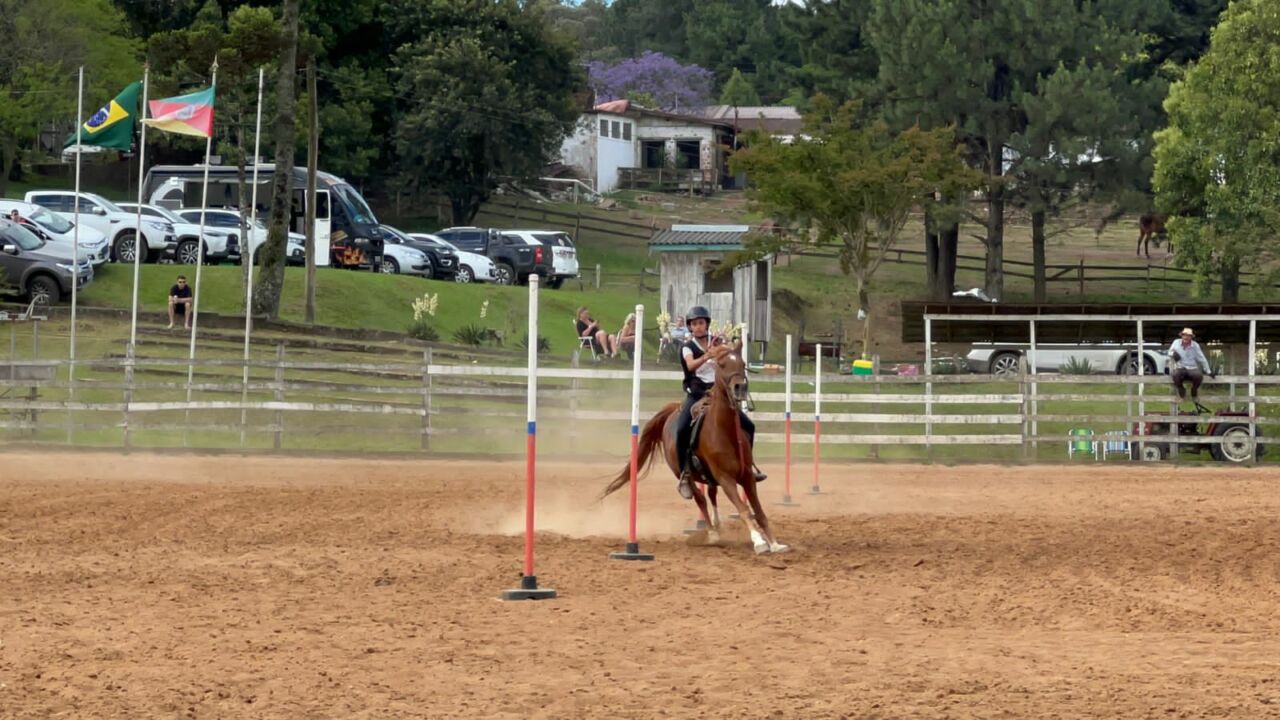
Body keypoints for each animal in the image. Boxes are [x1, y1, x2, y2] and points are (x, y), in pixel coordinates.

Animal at [601, 343, 790, 554]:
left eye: (742, 363)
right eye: (722, 364)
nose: (740, 387)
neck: (723, 431)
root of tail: (672, 411)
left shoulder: (747, 476)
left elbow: (758, 511)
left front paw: (774, 543)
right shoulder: (726, 478)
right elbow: (743, 509)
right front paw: (758, 541)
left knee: (711, 495)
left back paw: (717, 525)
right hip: (684, 474)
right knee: (700, 499)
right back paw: (712, 533)